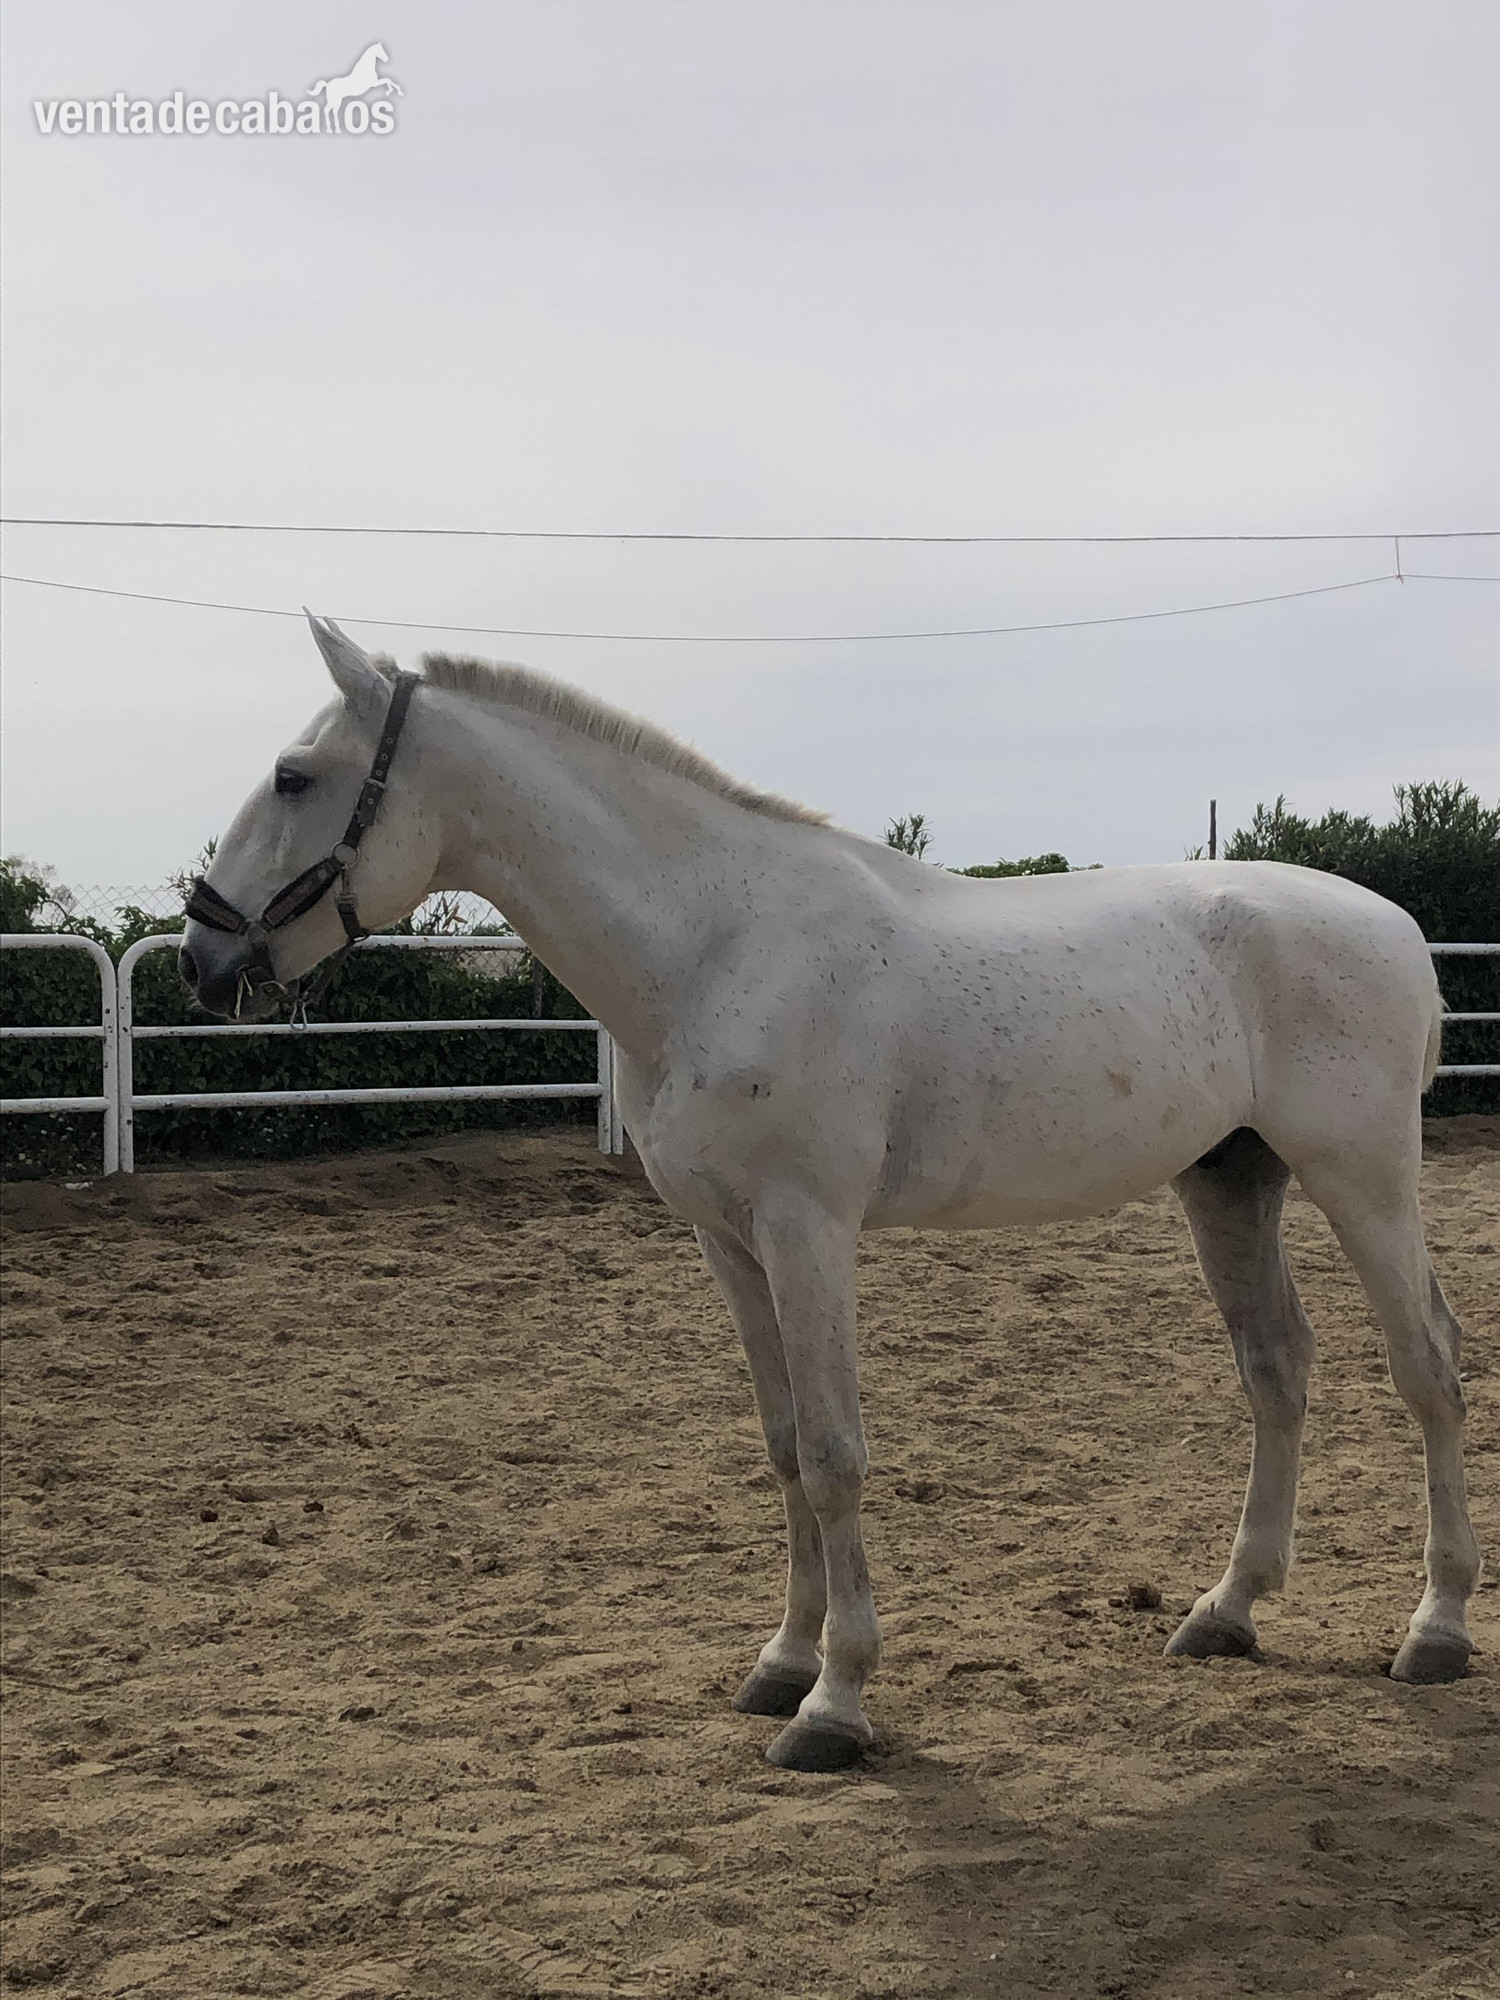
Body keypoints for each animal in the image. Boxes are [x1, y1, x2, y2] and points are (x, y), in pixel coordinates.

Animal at [180, 614, 1481, 1773]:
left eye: (295, 776)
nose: (201, 955)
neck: (716, 946)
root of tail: (1396, 926)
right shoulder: (729, 1239)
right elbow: (783, 1447)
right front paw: (782, 1662)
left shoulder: (809, 1229)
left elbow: (837, 1448)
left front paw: (838, 1703)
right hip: (1230, 1180)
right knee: (1278, 1367)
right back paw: (1229, 1607)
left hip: (1361, 1179)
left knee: (1427, 1366)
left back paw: (1436, 1628)